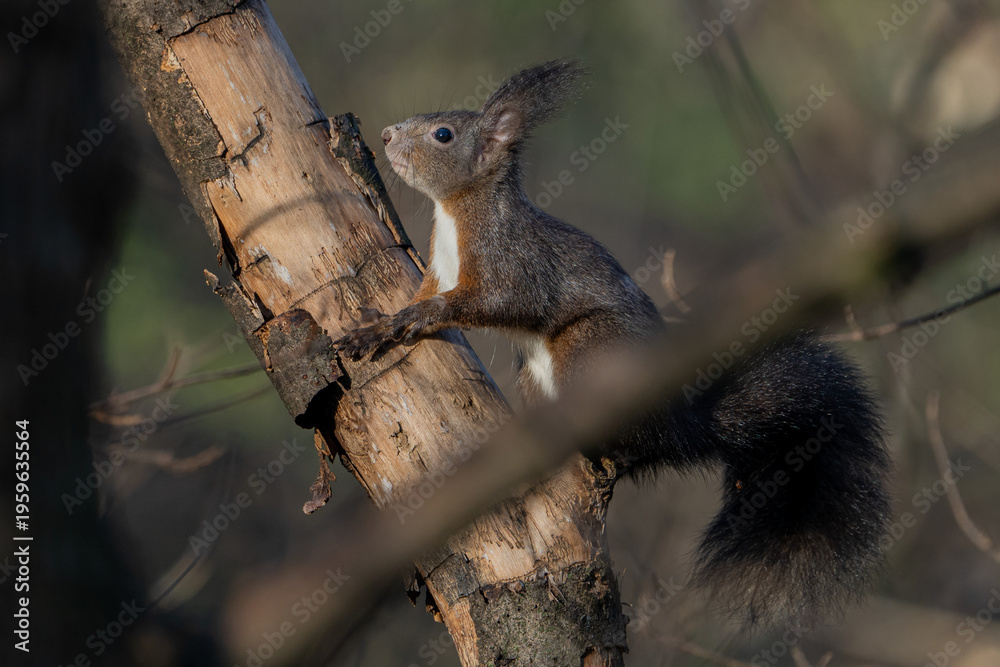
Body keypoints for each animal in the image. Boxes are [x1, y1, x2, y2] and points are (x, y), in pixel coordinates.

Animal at [336, 60, 891, 628]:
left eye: (443, 135)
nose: (385, 135)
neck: (455, 211)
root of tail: (682, 428)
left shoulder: (512, 260)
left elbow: (498, 303)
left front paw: (416, 317)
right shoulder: (438, 270)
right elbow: (422, 294)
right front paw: (380, 323)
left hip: (588, 352)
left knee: (632, 449)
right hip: (535, 376)